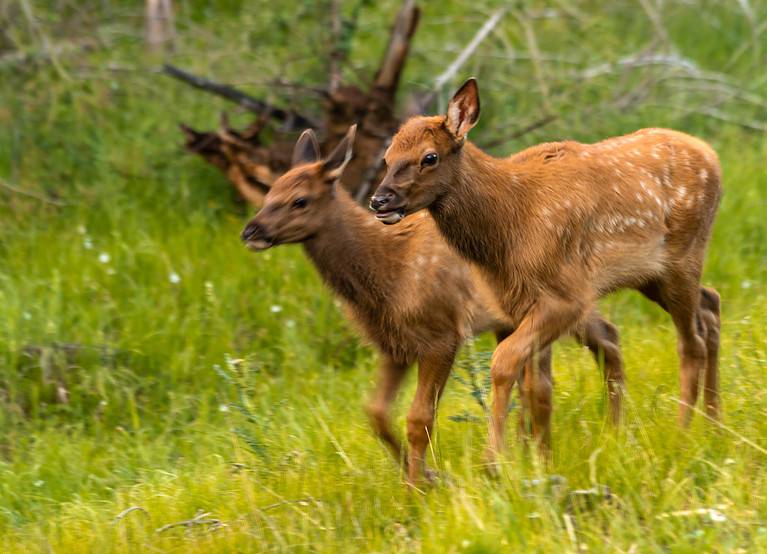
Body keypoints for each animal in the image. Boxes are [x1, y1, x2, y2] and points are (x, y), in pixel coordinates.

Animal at [240, 124, 626, 484]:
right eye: (269, 192)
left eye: (300, 200)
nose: (250, 232)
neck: (388, 272)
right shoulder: (393, 346)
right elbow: (376, 413)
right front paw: (423, 475)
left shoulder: (441, 335)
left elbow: (419, 418)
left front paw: (419, 487)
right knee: (595, 342)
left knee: (601, 338)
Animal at [370, 78, 722, 466]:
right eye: (387, 157)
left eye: (429, 157)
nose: (379, 201)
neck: (508, 227)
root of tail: (712, 155)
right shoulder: (518, 302)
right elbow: (537, 387)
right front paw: (537, 462)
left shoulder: (567, 296)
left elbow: (504, 362)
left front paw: (494, 462)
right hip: (652, 276)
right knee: (711, 303)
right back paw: (714, 423)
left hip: (683, 257)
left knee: (692, 343)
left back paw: (684, 434)